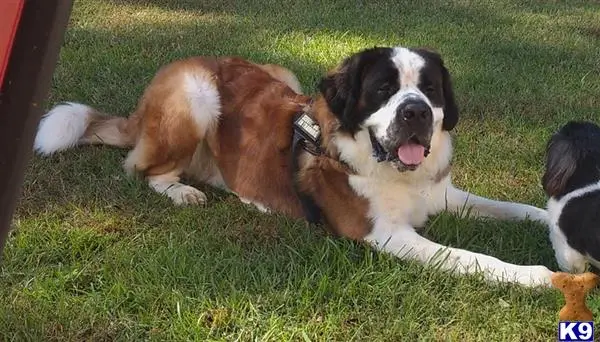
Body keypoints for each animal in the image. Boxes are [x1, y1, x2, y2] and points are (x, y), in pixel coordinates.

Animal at [34, 45, 552, 286]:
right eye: (383, 90)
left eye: (430, 90)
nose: (416, 112)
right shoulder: (384, 234)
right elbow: (469, 258)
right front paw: (534, 276)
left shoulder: (443, 194)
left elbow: (512, 208)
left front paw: (552, 218)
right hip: (195, 95)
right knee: (141, 169)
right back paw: (183, 191)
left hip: (283, 75)